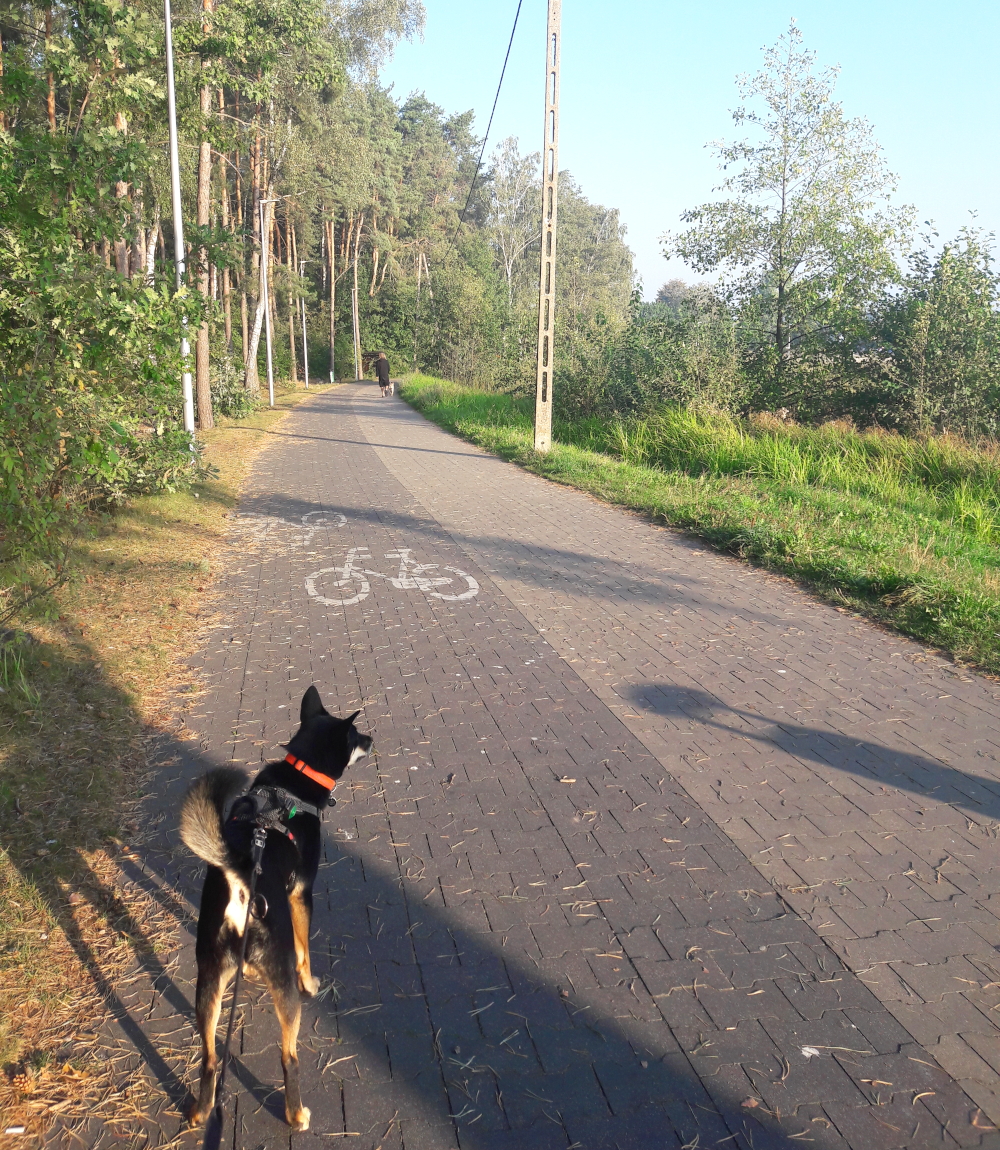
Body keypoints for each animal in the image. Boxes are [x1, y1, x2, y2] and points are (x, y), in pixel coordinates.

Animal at [179, 686, 372, 1131]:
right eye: (356, 737)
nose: (372, 739)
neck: (296, 783)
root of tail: (240, 885)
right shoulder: (301, 892)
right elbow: (305, 948)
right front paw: (312, 981)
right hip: (282, 989)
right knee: (289, 1058)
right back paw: (296, 1114)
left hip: (207, 981)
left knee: (210, 1058)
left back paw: (200, 1111)